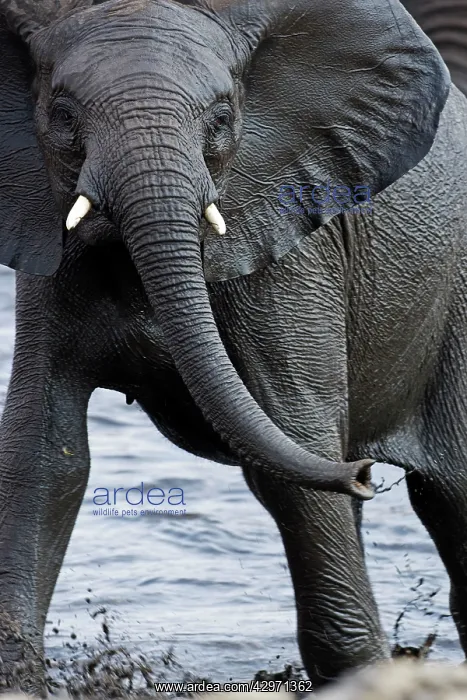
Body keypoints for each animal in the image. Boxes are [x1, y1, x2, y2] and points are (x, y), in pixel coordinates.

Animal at [0, 0, 466, 694]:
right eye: (61, 113)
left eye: (221, 119)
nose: (362, 476)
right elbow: (44, 454)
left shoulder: (295, 255)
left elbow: (295, 448)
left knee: (452, 497)